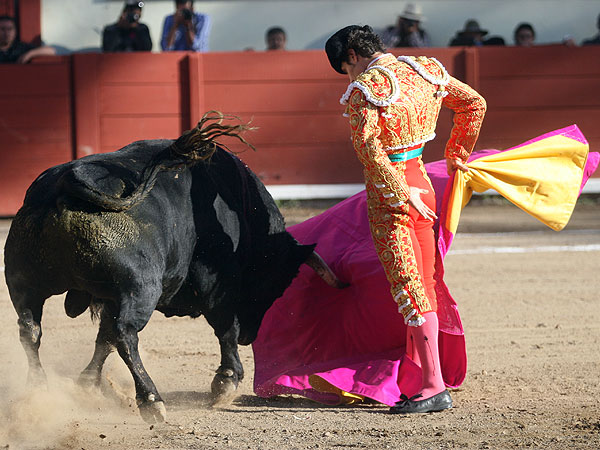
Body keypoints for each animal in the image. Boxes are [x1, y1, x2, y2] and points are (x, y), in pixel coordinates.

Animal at [4, 118, 344, 424]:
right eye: (275, 283)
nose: (252, 335)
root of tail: (67, 181)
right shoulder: (217, 286)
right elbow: (225, 329)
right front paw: (227, 380)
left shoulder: (111, 297)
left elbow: (103, 339)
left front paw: (86, 384)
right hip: (140, 288)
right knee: (126, 333)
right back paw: (151, 400)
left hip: (25, 283)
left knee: (32, 330)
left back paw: (39, 390)